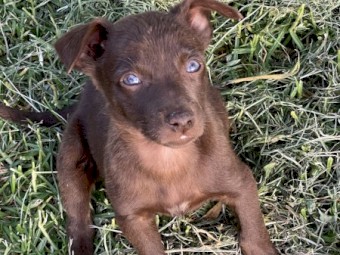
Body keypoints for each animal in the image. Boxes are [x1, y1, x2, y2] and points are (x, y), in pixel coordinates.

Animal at [0, 0, 278, 255]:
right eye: (131, 79)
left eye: (194, 65)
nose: (182, 121)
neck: (168, 158)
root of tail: (79, 103)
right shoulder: (133, 218)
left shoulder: (241, 184)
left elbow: (254, 236)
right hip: (71, 159)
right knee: (78, 220)